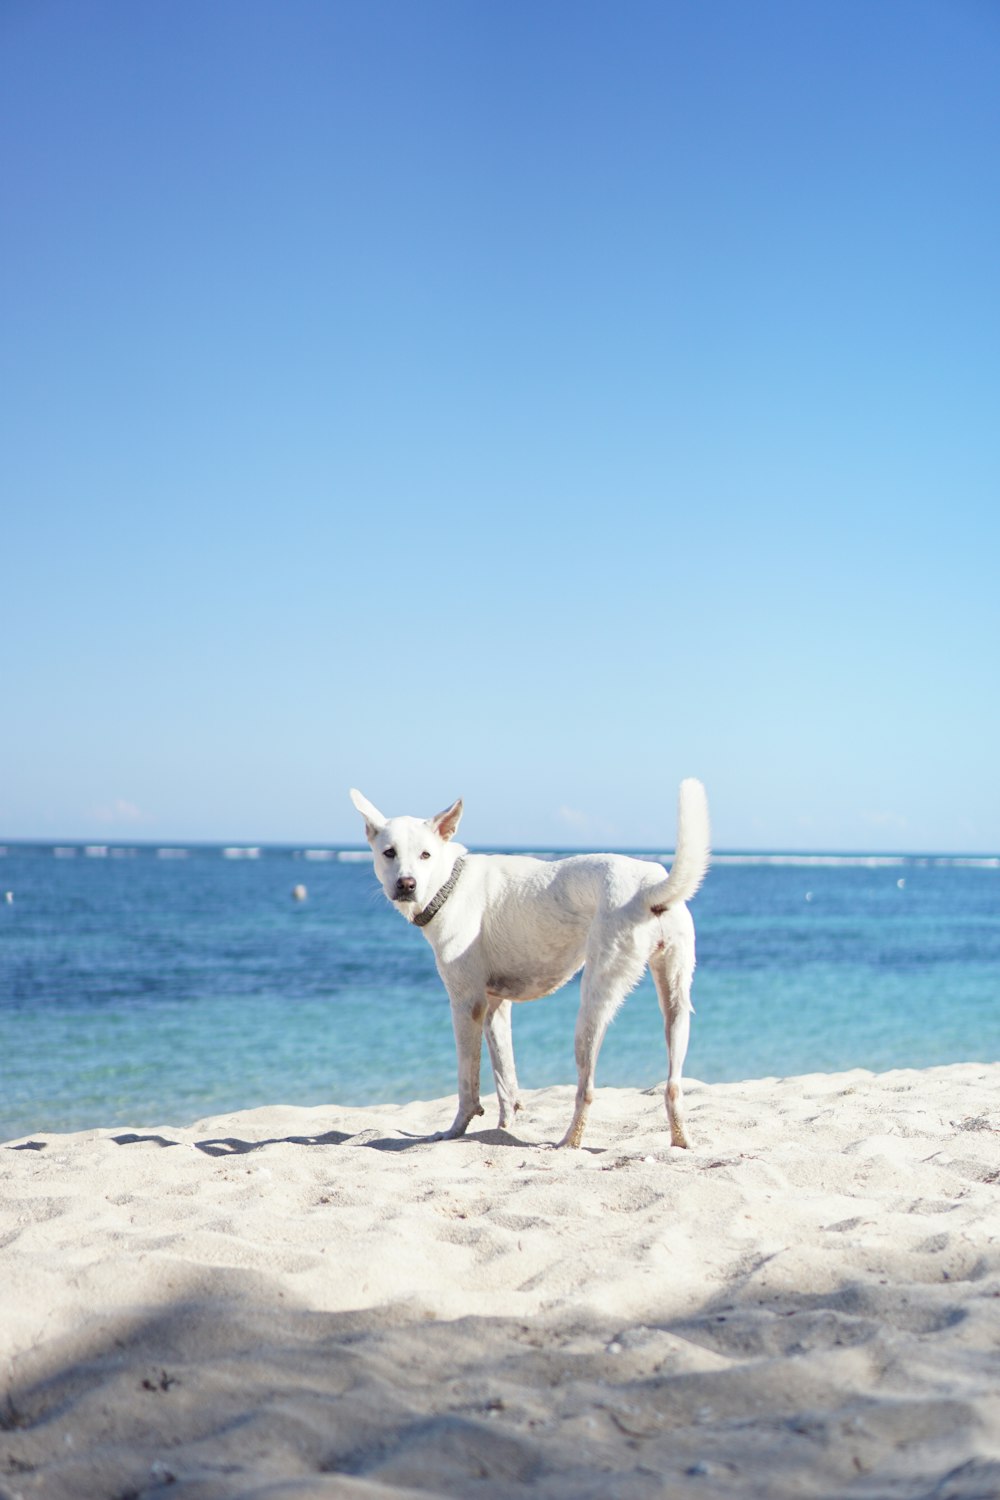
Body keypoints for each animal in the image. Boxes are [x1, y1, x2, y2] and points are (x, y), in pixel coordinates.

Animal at [352, 786, 710, 1146]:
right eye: (389, 853)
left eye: (425, 855)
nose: (406, 884)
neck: (449, 884)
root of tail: (649, 887)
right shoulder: (496, 1006)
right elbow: (505, 1079)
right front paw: (504, 1127)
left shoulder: (467, 1004)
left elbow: (467, 1084)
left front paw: (454, 1131)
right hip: (676, 1003)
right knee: (673, 1085)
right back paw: (681, 1142)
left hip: (593, 1007)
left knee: (587, 1090)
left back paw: (568, 1142)